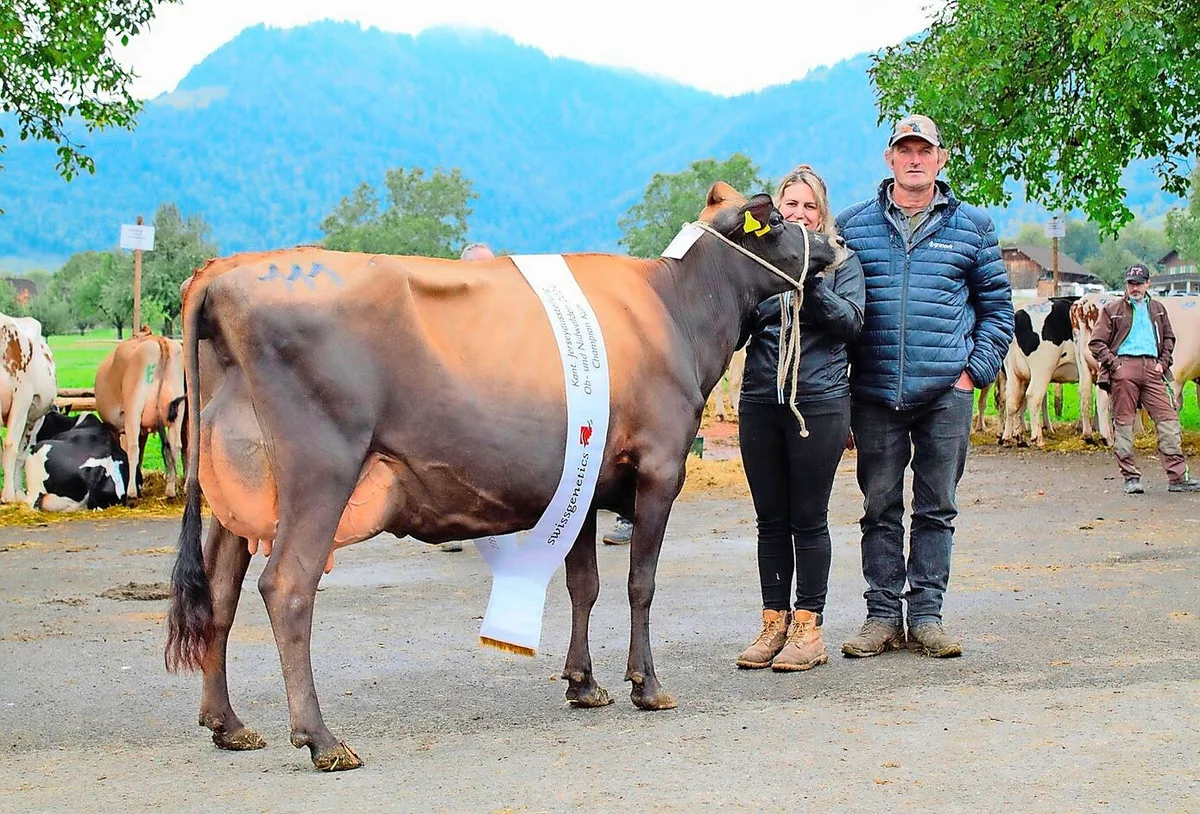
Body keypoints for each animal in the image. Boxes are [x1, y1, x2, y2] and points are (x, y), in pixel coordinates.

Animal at [0, 314, 58, 503]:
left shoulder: (22, 399)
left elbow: (10, 445)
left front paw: (8, 495)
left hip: (35, 419)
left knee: (21, 454)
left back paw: (18, 492)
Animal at [94, 327, 186, 499]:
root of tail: (158, 340)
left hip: (133, 407)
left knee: (133, 448)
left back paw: (131, 492)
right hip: (179, 408)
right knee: (175, 446)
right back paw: (170, 490)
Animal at [164, 183, 843, 771]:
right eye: (779, 220)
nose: (838, 242)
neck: (675, 309)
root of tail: (223, 271)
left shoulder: (588, 479)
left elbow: (584, 584)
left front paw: (583, 683)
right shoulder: (659, 467)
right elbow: (640, 583)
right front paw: (646, 684)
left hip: (236, 490)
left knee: (219, 596)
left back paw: (228, 725)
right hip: (319, 471)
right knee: (287, 587)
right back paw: (322, 740)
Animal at [999, 297, 1080, 447]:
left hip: (1013, 371)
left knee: (1012, 400)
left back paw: (1009, 438)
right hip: (1043, 367)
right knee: (1033, 396)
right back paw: (1037, 438)